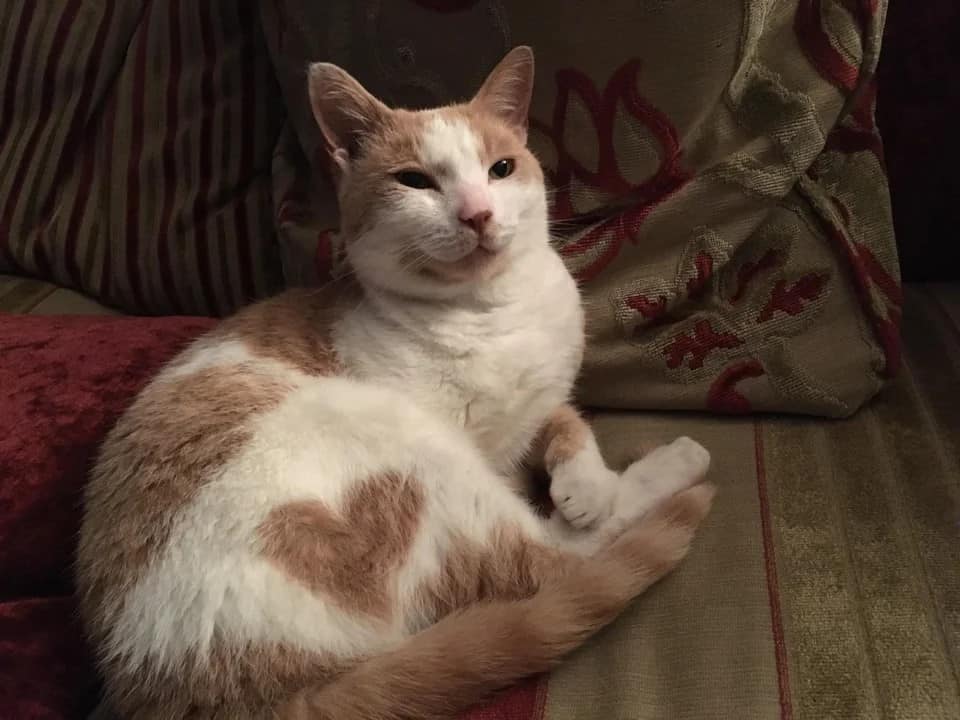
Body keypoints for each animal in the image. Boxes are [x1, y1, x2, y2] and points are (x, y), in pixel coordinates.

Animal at [77, 46, 712, 720]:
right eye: (415, 181)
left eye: (501, 168)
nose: (478, 213)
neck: (489, 313)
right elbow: (568, 512)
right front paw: (604, 490)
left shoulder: (537, 402)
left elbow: (566, 420)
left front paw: (583, 483)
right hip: (406, 449)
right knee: (552, 559)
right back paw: (677, 461)